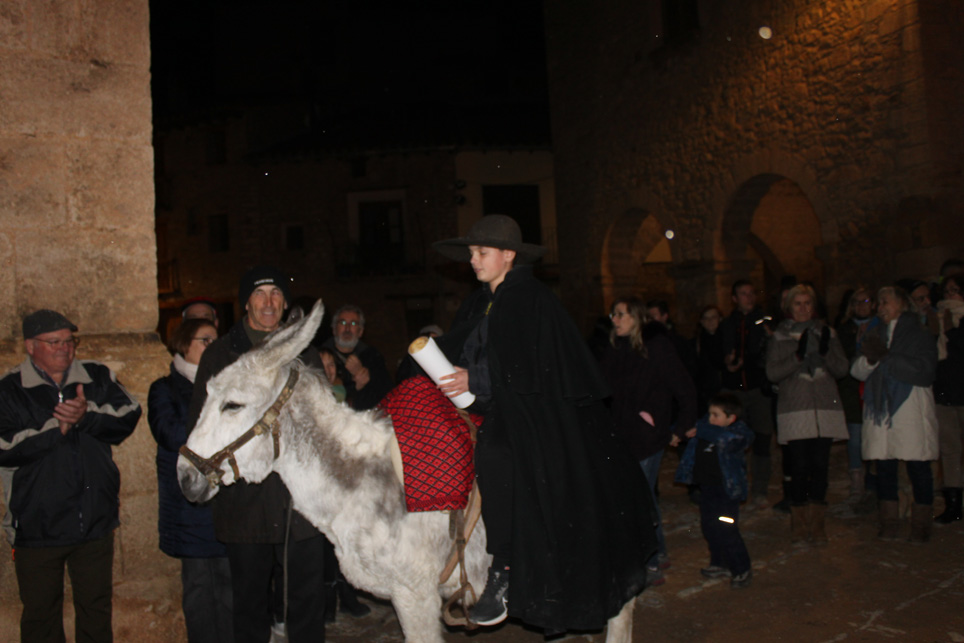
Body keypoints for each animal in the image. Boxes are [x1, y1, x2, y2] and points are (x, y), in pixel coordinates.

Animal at [177, 300, 636, 643]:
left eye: (232, 405)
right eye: (205, 393)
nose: (184, 476)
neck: (357, 483)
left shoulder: (415, 595)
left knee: (623, 613)